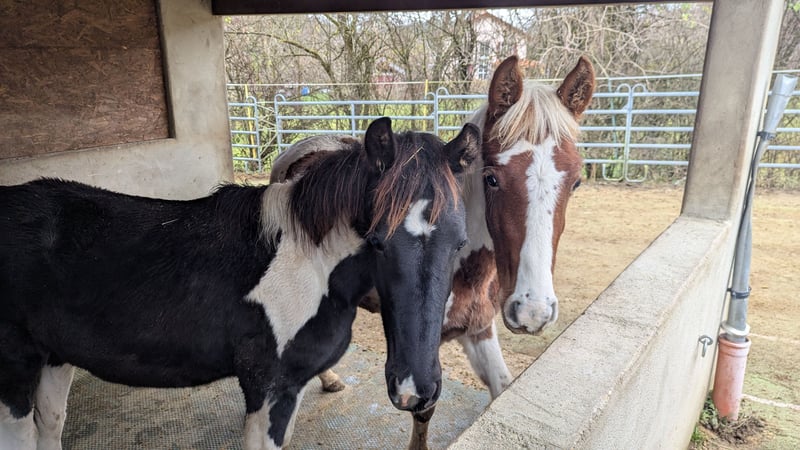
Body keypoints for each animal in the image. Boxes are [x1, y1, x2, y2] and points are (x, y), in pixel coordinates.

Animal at [0, 117, 480, 450]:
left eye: (460, 242)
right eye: (378, 241)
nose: (415, 392)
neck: (308, 264)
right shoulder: (267, 391)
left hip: (55, 359)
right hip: (15, 376)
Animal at [271, 56, 595, 450]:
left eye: (576, 182)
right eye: (492, 178)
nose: (532, 311)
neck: (466, 272)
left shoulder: (479, 329)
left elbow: (502, 389)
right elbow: (424, 410)